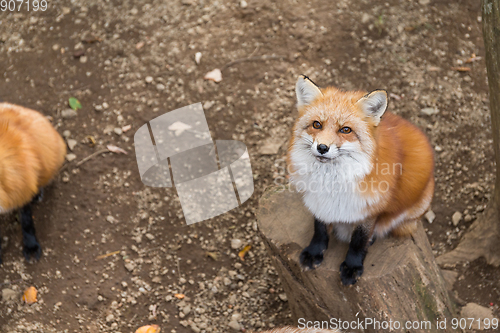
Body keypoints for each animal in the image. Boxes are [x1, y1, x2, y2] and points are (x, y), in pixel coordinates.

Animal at [288, 76, 436, 286]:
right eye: (317, 125)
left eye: (345, 130)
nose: (322, 147)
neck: (331, 182)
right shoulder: (318, 200)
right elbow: (319, 228)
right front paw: (314, 252)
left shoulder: (369, 208)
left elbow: (359, 240)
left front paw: (352, 267)